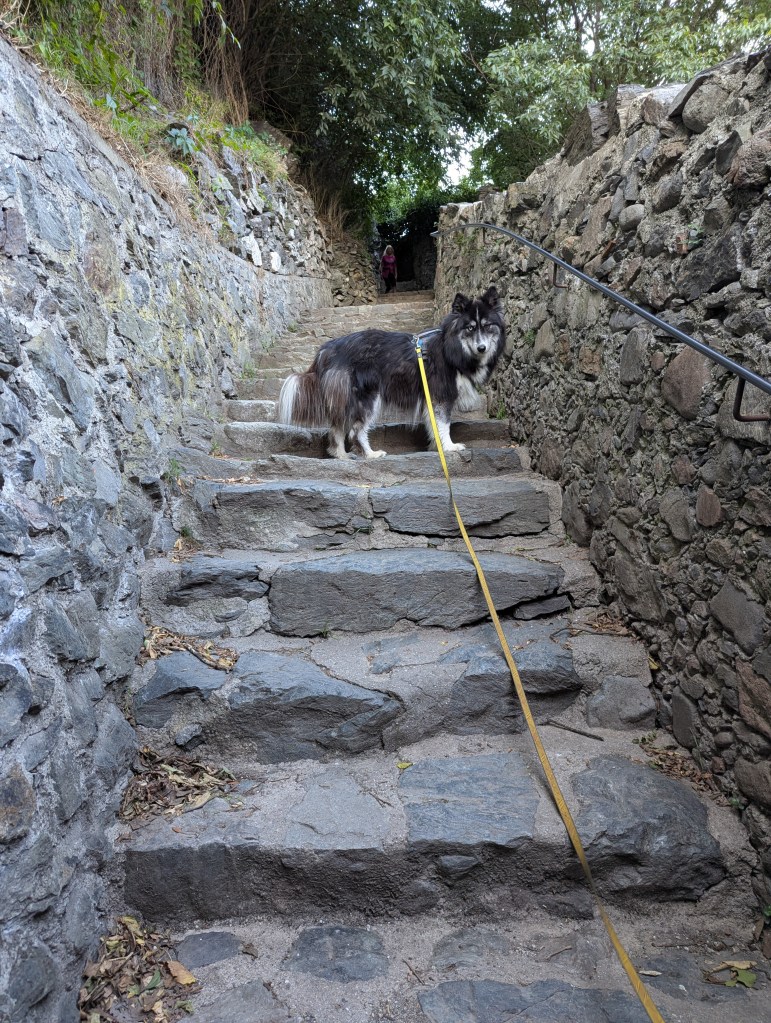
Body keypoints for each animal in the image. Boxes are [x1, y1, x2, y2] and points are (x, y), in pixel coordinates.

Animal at [278, 287, 505, 458]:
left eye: (487, 326)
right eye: (470, 328)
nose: (482, 348)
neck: (452, 347)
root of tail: (327, 350)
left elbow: (433, 425)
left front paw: (437, 447)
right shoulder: (441, 394)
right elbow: (443, 425)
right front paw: (449, 447)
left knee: (338, 428)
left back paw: (342, 455)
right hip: (367, 397)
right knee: (355, 431)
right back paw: (368, 454)